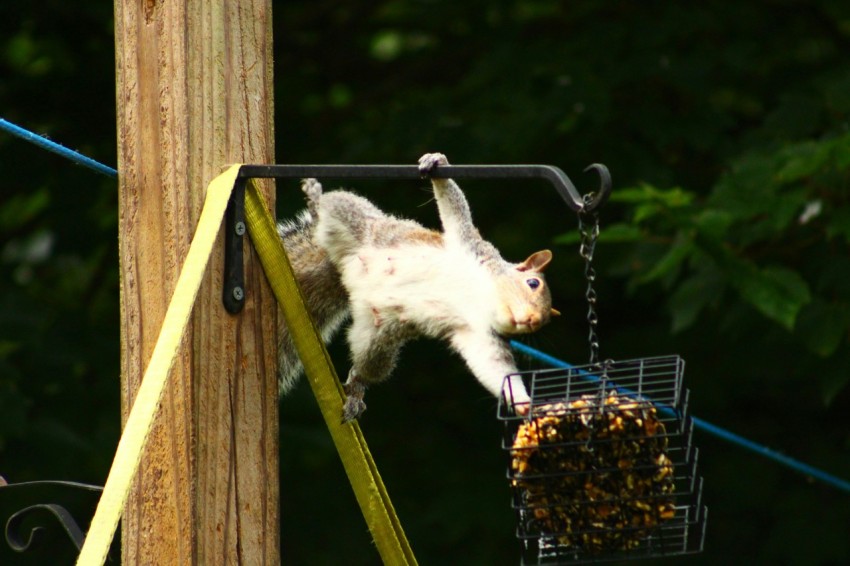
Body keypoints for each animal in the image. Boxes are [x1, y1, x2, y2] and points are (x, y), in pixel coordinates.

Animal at [277, 152, 558, 422]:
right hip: (358, 221)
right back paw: (315, 201)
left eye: (544, 321)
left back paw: (356, 390)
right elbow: (455, 210)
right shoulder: (473, 248)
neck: (481, 298)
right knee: (335, 206)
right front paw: (437, 161)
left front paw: (523, 402)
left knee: (366, 366)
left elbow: (493, 363)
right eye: (533, 283)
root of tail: (342, 269)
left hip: (378, 339)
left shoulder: (480, 333)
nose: (533, 320)